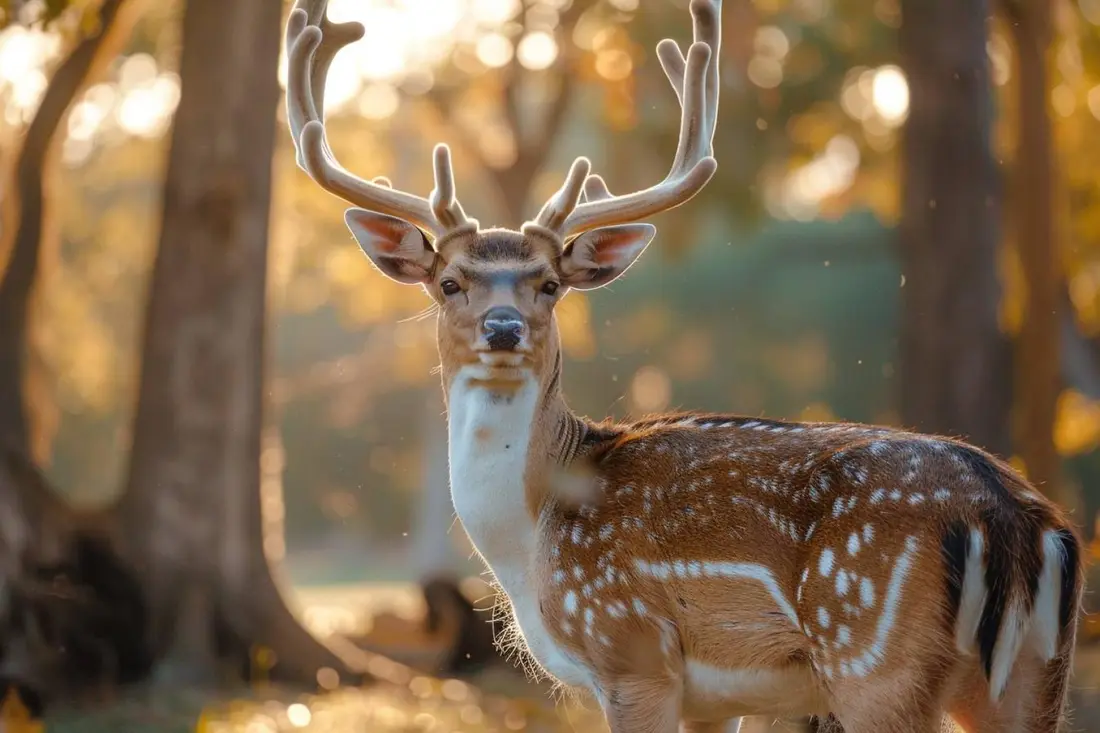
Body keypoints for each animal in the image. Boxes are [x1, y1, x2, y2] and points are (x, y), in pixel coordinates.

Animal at [283, 1, 1084, 731]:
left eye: (550, 282)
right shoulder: (718, 697)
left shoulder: (631, 650)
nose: (503, 327)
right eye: (449, 281)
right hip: (1039, 668)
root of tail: (1013, 520)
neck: (529, 538)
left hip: (874, 656)